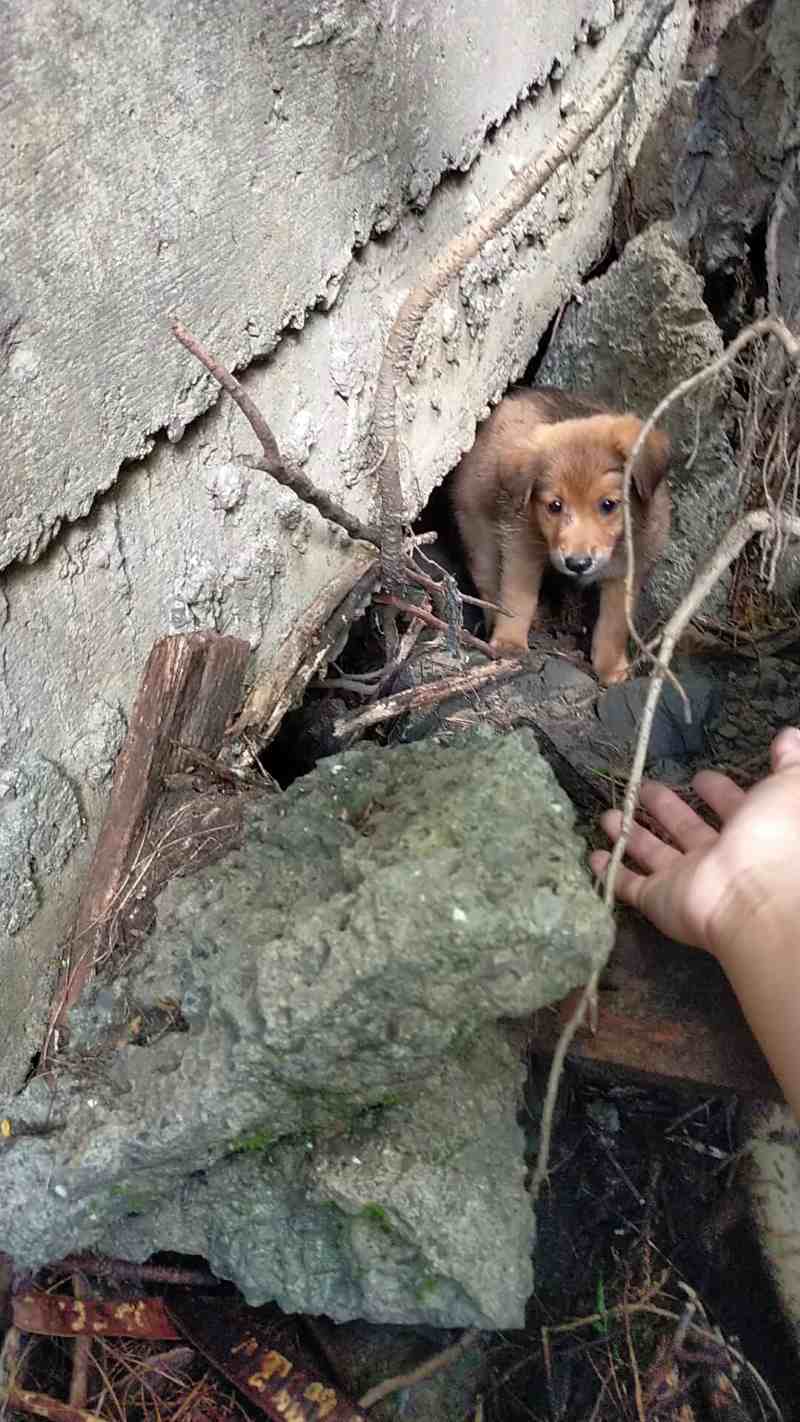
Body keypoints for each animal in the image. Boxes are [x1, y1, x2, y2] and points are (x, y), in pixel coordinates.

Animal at [451, 383, 670, 682]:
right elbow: (518, 597)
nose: (577, 564)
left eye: (608, 504)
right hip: (479, 532)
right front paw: (510, 641)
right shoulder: (520, 546)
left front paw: (611, 667)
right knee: (488, 586)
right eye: (555, 506)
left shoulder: (628, 569)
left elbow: (615, 623)